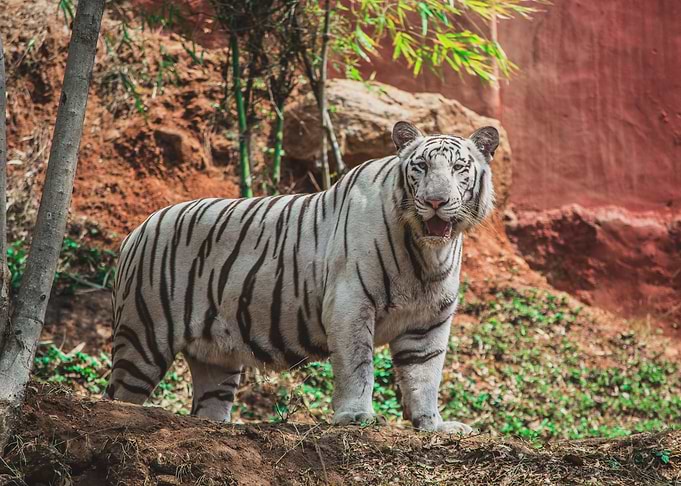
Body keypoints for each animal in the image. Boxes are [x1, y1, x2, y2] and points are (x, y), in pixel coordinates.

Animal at [106, 121, 499, 434]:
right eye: (421, 166)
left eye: (459, 167)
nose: (436, 201)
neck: (427, 252)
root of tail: (137, 229)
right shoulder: (350, 303)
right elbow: (357, 365)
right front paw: (355, 416)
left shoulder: (428, 322)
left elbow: (424, 376)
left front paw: (433, 425)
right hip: (142, 336)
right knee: (117, 394)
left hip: (216, 358)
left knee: (209, 404)